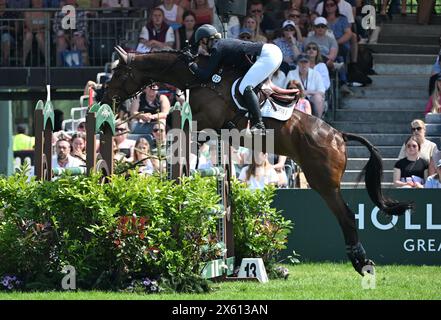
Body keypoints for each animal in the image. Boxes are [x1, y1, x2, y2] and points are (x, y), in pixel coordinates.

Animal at [100, 45, 412, 276]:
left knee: (346, 216)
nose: (104, 98)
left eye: (118, 73)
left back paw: (362, 263)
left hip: (323, 182)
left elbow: (176, 127)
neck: (200, 78)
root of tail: (338, 135)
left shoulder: (206, 120)